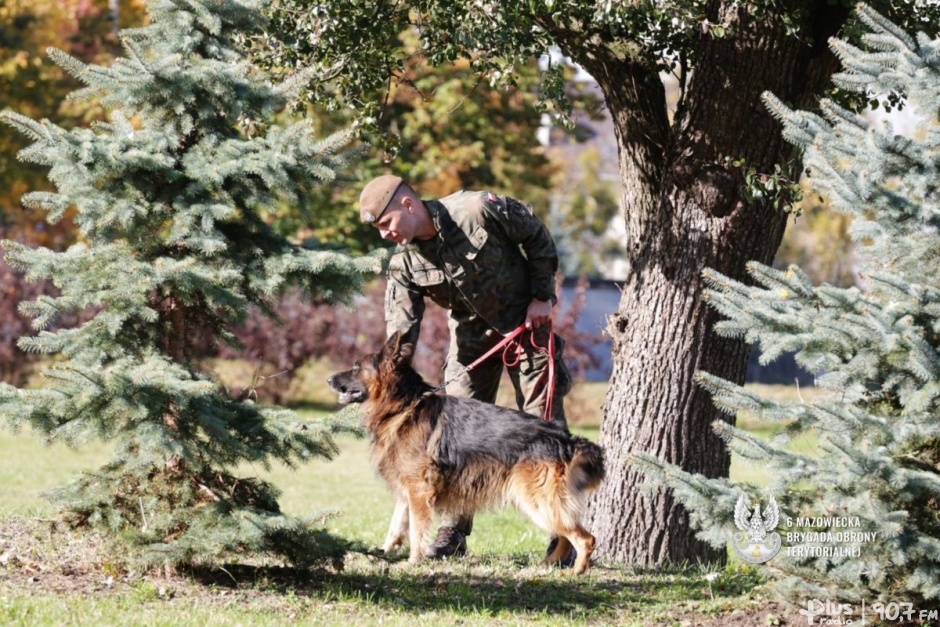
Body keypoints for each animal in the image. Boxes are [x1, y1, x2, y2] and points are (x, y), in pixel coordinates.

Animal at [330, 334, 604, 576]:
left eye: (356, 367)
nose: (328, 379)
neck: (404, 405)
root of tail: (565, 438)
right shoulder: (408, 488)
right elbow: (396, 525)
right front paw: (384, 553)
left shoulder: (419, 491)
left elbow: (417, 530)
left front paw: (413, 562)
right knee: (567, 536)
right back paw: (550, 564)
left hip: (538, 501)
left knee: (585, 538)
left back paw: (577, 571)